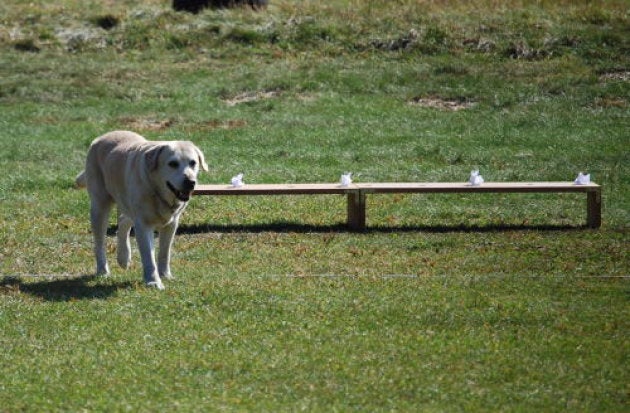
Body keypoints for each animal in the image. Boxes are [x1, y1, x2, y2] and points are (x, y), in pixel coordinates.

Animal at [76, 130, 209, 288]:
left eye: (193, 163)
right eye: (173, 164)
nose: (190, 182)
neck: (157, 190)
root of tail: (101, 137)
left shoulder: (171, 224)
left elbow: (164, 253)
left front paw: (165, 275)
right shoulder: (143, 225)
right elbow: (148, 256)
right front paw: (153, 281)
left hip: (127, 203)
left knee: (123, 221)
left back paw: (123, 258)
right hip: (100, 207)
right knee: (99, 243)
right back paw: (103, 271)